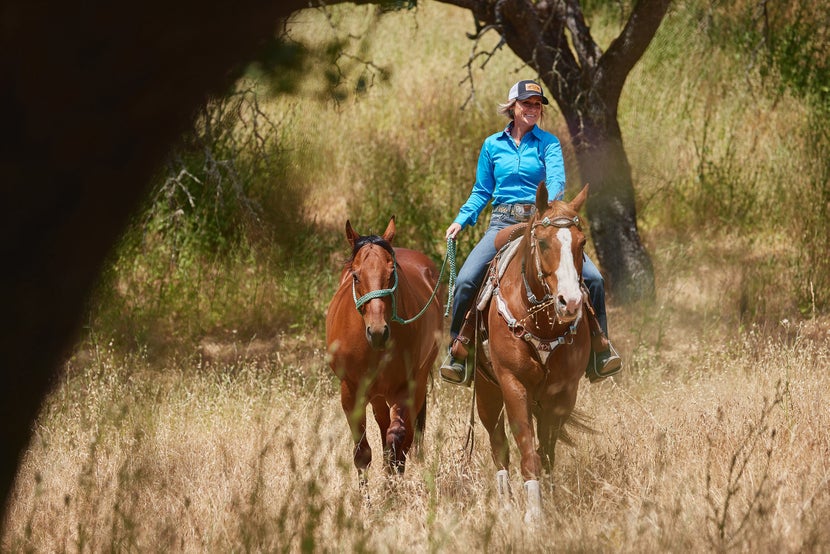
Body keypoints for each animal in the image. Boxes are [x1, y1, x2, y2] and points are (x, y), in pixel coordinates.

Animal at [326, 216, 446, 488]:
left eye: (392, 273)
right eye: (356, 276)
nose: (378, 331)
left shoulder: (406, 388)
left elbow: (397, 441)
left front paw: (392, 489)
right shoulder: (351, 392)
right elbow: (362, 452)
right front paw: (366, 497)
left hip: (415, 383)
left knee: (404, 436)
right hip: (378, 395)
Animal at [474, 182, 592, 520]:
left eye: (582, 243)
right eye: (542, 242)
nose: (571, 302)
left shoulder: (563, 392)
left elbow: (547, 451)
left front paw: (549, 503)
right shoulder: (513, 385)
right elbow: (527, 450)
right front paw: (534, 515)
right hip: (486, 391)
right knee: (498, 445)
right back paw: (505, 503)